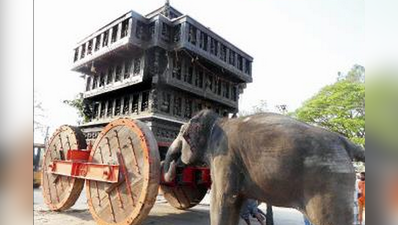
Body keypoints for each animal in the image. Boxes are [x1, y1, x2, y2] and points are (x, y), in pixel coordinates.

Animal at [163, 110, 366, 225]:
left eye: (181, 133)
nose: (172, 168)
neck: (218, 121)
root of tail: (345, 141)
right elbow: (236, 202)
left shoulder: (223, 157)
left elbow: (222, 198)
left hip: (329, 183)